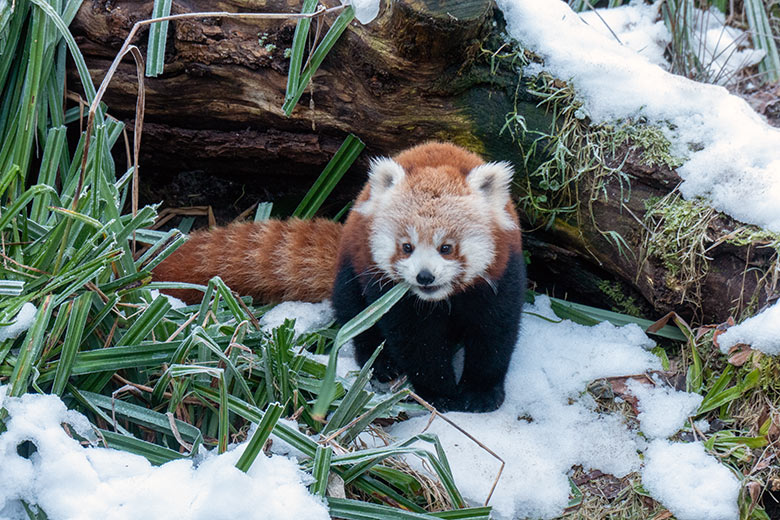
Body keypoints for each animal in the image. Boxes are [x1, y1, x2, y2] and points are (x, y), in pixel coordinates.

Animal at [154, 141, 524, 410]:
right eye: (406, 246)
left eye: (446, 247)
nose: (424, 277)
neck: (439, 300)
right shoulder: (392, 292)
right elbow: (416, 340)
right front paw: (439, 391)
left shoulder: (502, 274)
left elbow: (495, 333)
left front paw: (480, 392)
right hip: (353, 269)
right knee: (358, 318)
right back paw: (381, 365)